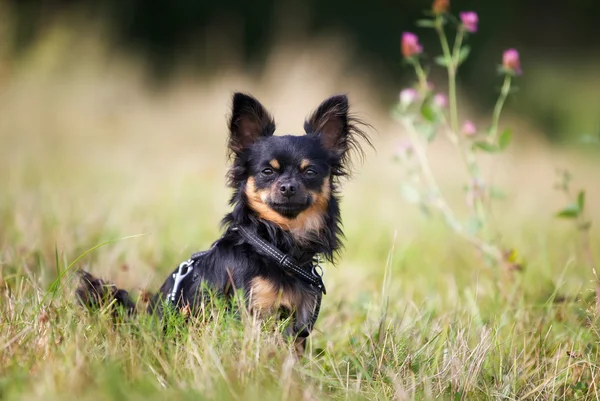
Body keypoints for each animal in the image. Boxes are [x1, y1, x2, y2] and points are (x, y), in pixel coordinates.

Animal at [76, 92, 370, 352]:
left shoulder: (298, 323)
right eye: (267, 171)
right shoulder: (251, 313)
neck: (276, 245)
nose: (287, 187)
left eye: (310, 172)